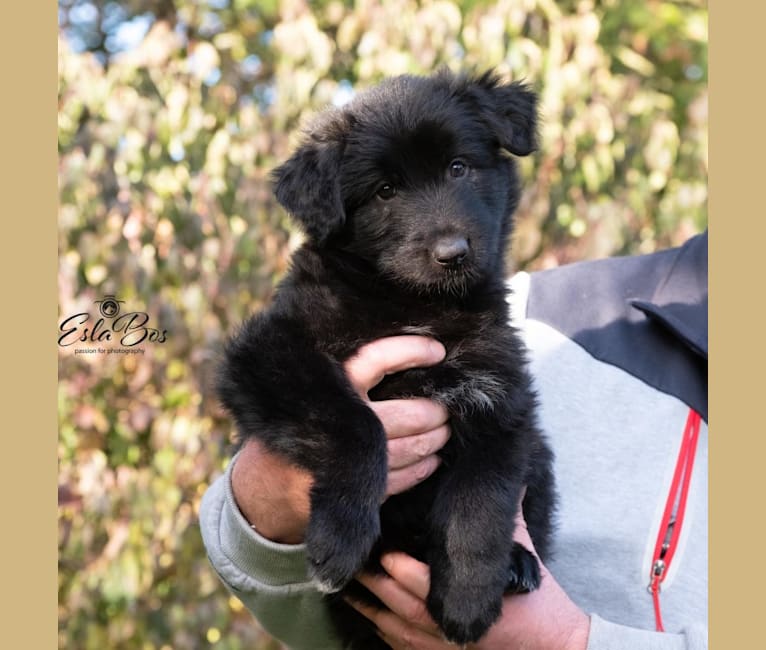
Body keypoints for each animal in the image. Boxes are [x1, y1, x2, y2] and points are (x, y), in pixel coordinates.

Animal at [219, 68, 556, 644]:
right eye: (385, 191)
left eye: (458, 167)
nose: (453, 253)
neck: (414, 304)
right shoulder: (271, 351)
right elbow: (356, 423)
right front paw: (341, 539)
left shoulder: (501, 400)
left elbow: (481, 500)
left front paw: (468, 598)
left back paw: (516, 563)